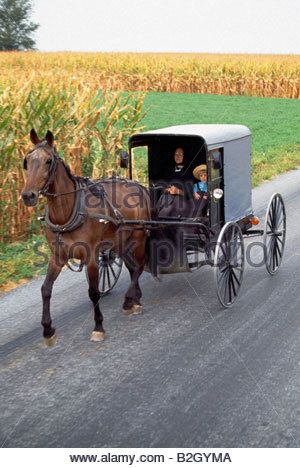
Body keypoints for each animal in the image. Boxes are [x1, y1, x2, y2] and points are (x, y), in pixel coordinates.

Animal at [21, 130, 150, 346]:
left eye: (48, 161)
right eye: (27, 160)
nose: (27, 195)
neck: (68, 213)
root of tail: (139, 185)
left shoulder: (91, 258)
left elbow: (93, 292)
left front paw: (98, 327)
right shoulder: (57, 257)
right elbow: (45, 289)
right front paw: (48, 330)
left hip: (139, 236)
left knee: (139, 267)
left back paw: (128, 300)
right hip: (121, 240)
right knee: (133, 268)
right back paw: (135, 299)